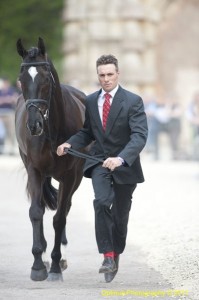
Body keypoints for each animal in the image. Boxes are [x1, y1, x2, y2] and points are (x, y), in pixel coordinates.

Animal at [15, 38, 85, 282]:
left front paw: (55, 265)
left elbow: (60, 218)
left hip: (76, 178)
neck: (53, 130)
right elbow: (36, 212)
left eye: (45, 79)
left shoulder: (69, 176)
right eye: (21, 80)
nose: (34, 125)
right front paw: (38, 265)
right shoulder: (35, 170)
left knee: (65, 209)